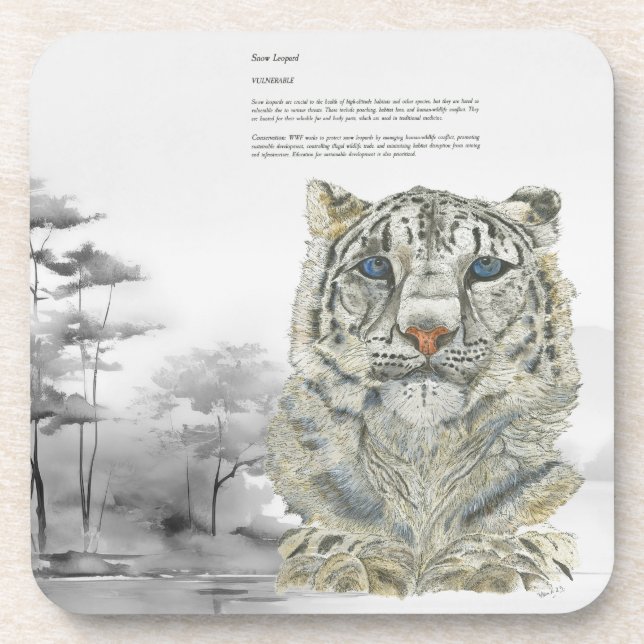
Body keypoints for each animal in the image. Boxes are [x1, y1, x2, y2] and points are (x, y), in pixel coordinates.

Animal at [265, 180, 582, 596]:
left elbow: (514, 531)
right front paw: (350, 562)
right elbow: (330, 531)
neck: (424, 453)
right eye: (376, 265)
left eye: (486, 267)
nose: (428, 332)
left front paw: (489, 565)